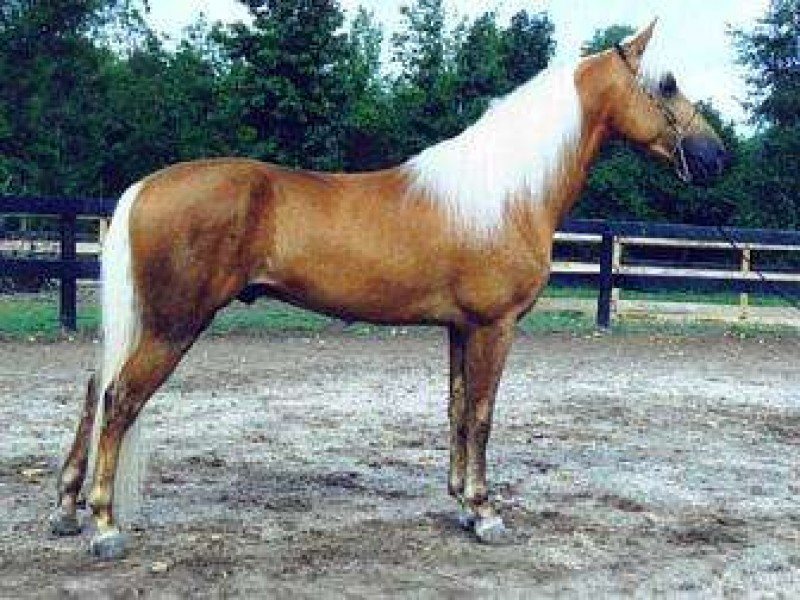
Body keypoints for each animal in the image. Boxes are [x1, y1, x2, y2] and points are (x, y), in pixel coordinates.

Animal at [50, 20, 729, 559]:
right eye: (667, 84)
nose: (717, 157)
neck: (506, 192)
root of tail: (144, 187)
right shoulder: (494, 326)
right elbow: (483, 414)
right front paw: (486, 512)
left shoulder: (460, 327)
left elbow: (458, 410)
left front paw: (461, 504)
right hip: (173, 325)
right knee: (118, 401)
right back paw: (105, 526)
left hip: (149, 324)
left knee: (93, 392)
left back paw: (65, 510)